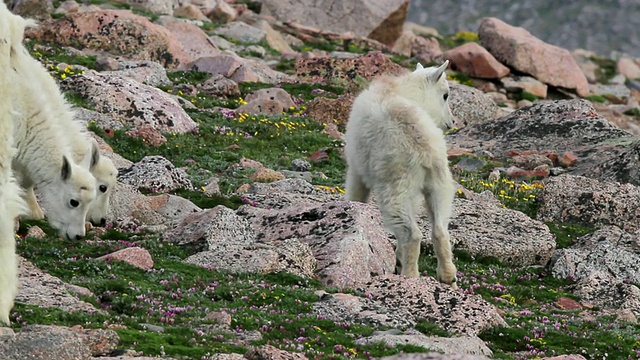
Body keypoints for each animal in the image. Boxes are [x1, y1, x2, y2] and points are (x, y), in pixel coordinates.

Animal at [344, 60, 460, 288]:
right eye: (445, 95)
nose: (451, 123)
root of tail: (425, 148)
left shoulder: (357, 168)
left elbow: (356, 196)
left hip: (395, 186)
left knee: (412, 233)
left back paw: (410, 275)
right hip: (440, 183)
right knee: (440, 229)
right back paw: (448, 278)